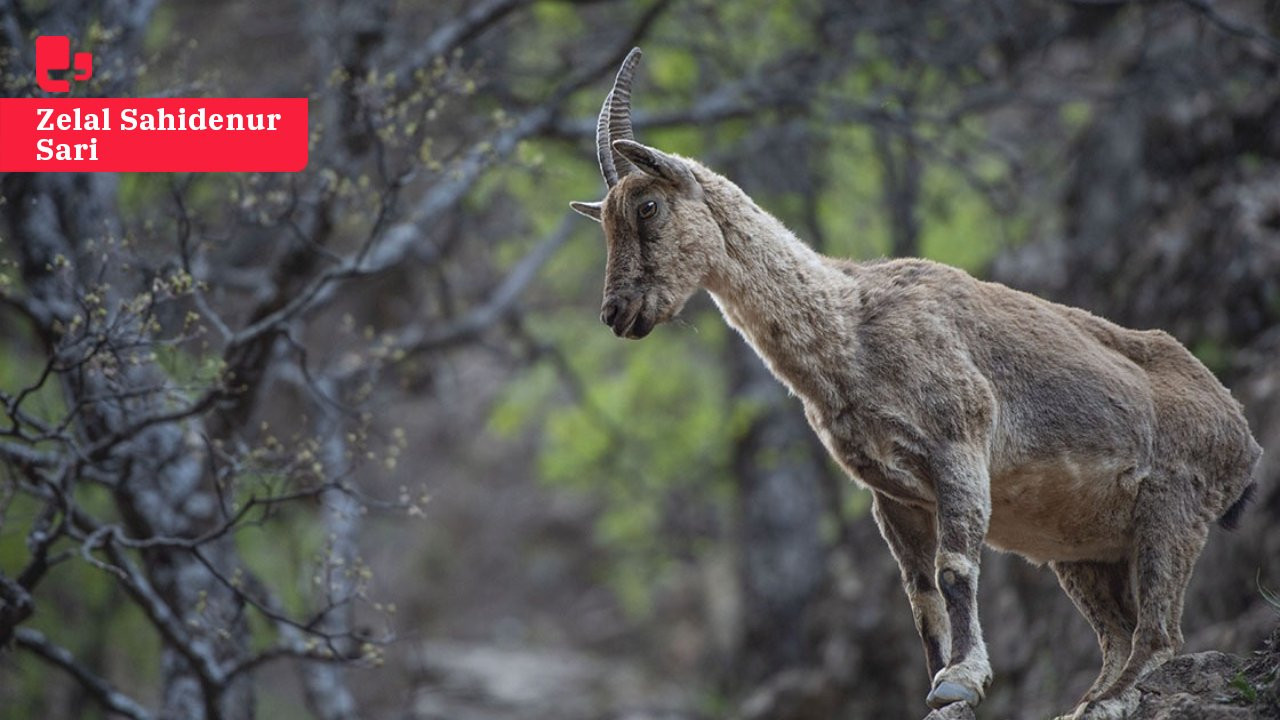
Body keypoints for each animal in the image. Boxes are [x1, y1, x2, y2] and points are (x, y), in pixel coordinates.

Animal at [570, 47, 1259, 712]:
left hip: (1172, 511)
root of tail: (1244, 440)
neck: (849, 331)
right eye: (604, 222)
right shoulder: (894, 497)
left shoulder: (958, 448)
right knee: (1119, 634)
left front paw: (962, 680)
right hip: (1086, 550)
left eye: (649, 206)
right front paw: (938, 684)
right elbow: (921, 596)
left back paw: (1112, 701)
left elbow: (955, 569)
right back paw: (1089, 702)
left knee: (1159, 635)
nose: (617, 313)